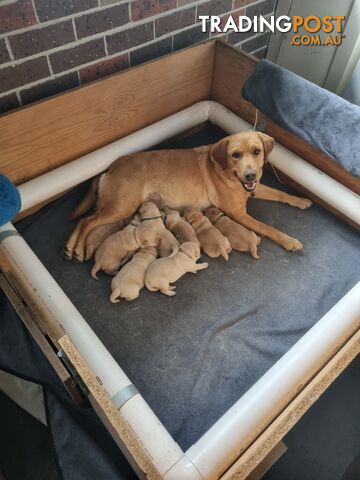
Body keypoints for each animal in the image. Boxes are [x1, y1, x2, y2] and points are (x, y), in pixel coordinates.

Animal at [64, 130, 312, 262]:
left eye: (257, 151)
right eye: (235, 155)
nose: (250, 174)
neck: (230, 174)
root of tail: (110, 167)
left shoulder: (254, 188)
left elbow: (279, 193)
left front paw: (300, 200)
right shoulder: (238, 213)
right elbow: (269, 228)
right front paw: (289, 241)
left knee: (84, 220)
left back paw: (70, 247)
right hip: (121, 206)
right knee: (87, 221)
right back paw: (77, 248)